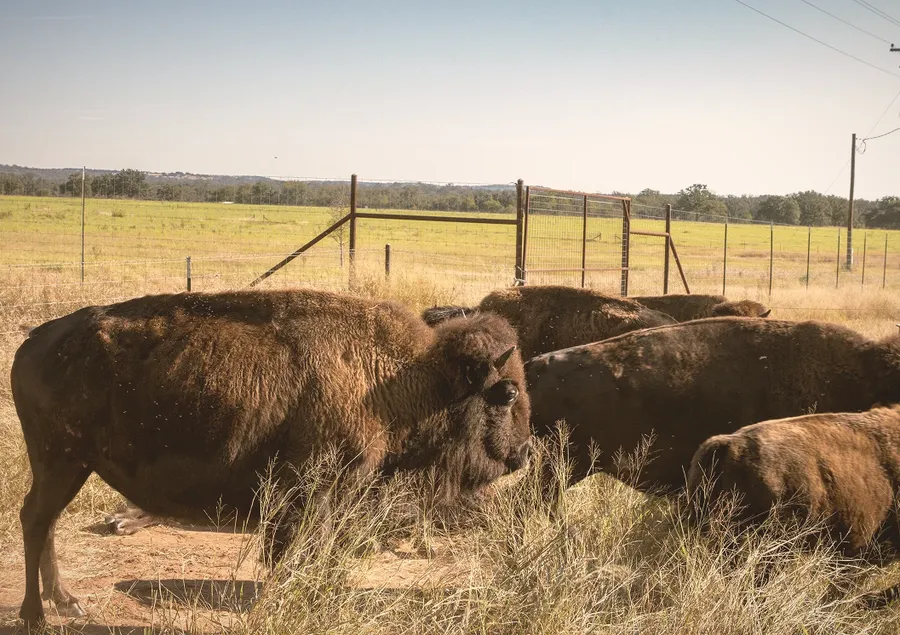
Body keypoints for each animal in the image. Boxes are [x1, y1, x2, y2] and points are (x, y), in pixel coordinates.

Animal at [13, 289, 532, 626]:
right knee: (36, 518)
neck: (397, 377)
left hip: (71, 466)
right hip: (60, 461)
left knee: (47, 520)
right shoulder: (307, 494)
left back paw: (66, 602)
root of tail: (34, 341)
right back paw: (36, 614)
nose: (523, 453)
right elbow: (294, 553)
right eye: (507, 394)